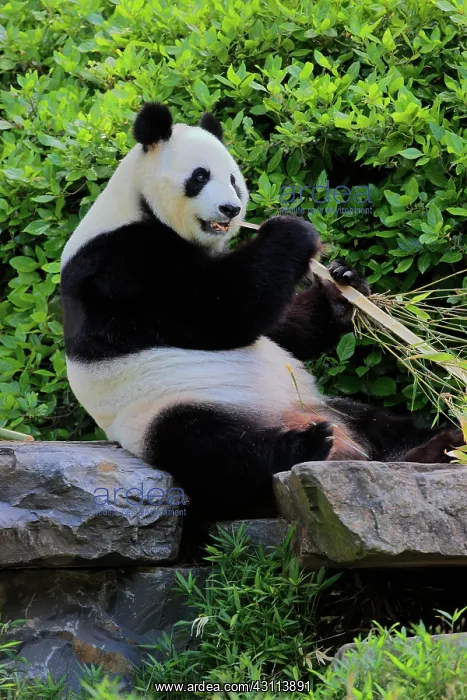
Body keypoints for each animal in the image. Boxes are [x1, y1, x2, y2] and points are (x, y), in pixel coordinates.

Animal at [60, 102, 462, 520]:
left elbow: (282, 327)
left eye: (233, 179)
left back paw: (439, 444)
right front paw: (293, 230)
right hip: (160, 411)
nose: (231, 208)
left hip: (318, 401)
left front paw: (343, 284)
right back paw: (306, 445)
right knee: (212, 449)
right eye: (200, 176)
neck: (135, 207)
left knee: (380, 423)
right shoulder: (123, 265)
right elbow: (225, 309)